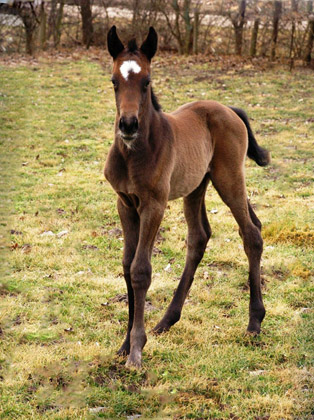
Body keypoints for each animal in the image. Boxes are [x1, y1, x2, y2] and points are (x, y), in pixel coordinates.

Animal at [103, 27, 270, 368]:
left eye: (147, 82)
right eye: (114, 81)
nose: (128, 125)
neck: (135, 153)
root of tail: (229, 109)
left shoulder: (154, 204)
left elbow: (141, 270)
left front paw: (136, 351)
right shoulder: (125, 203)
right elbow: (127, 265)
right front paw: (125, 344)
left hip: (229, 178)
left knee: (251, 234)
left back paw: (254, 321)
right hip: (197, 186)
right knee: (201, 236)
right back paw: (166, 320)